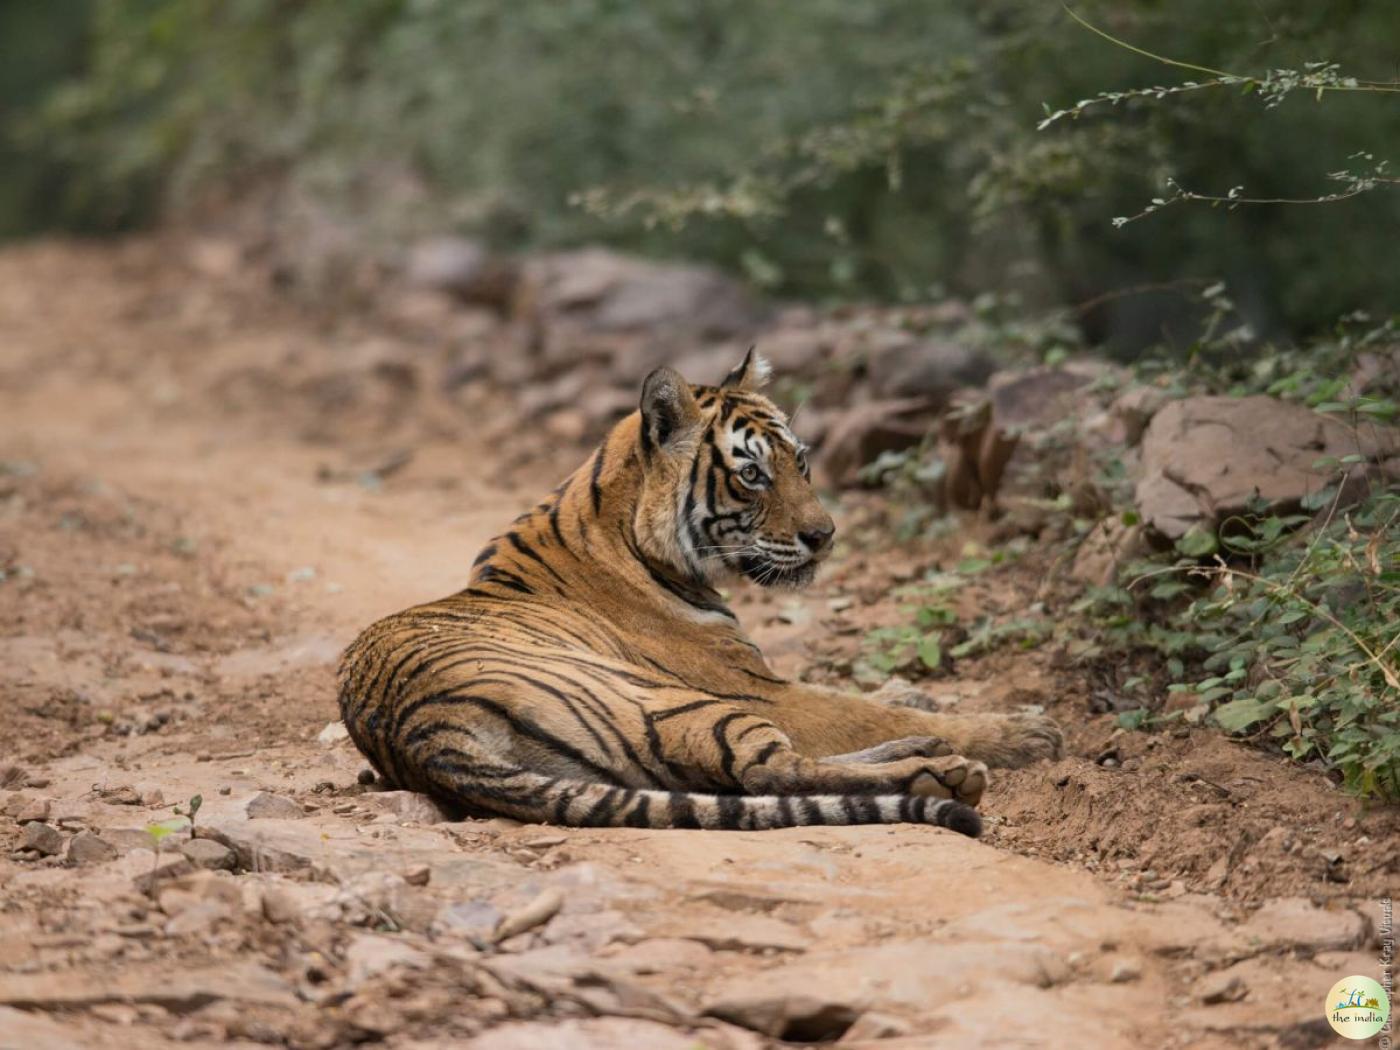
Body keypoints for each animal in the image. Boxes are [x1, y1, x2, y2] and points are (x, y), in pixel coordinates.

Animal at [338, 350, 1062, 836]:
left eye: (801, 461)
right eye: (751, 475)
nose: (825, 536)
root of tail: (420, 732)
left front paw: (919, 698)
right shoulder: (755, 688)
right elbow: (860, 710)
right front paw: (1027, 732)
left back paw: (928, 752)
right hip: (678, 704)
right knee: (772, 771)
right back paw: (942, 769)